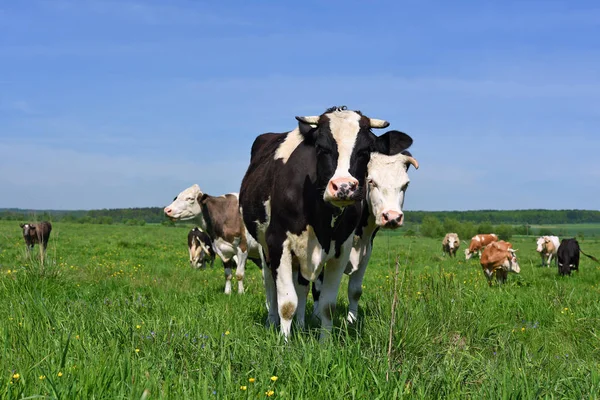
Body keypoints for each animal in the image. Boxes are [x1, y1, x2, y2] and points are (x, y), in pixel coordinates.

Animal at [308, 150, 420, 324]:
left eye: (405, 184)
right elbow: (318, 287)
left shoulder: (367, 251)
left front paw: (352, 321)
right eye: (371, 181)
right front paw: (316, 317)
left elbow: (355, 291)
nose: (392, 217)